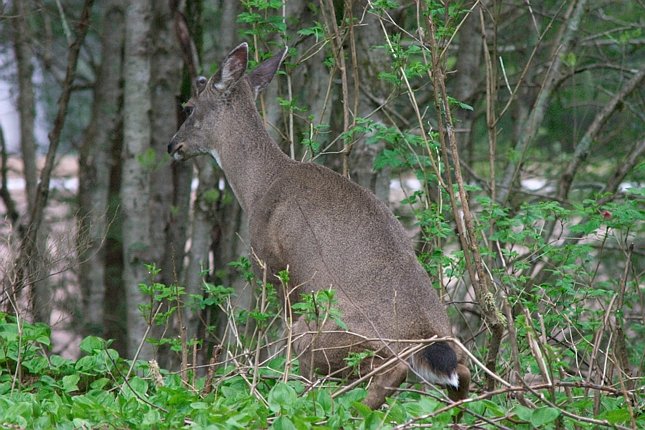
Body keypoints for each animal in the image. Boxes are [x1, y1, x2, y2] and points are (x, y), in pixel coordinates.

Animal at [166, 43, 468, 410]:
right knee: (462, 375)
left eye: (189, 106)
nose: (173, 145)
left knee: (378, 369)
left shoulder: (273, 264)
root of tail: (425, 338)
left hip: (319, 331)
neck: (259, 187)